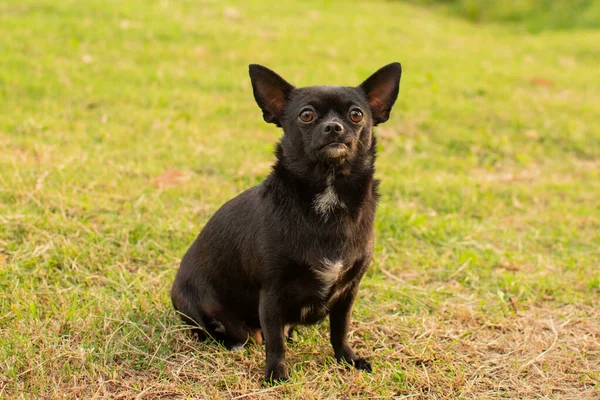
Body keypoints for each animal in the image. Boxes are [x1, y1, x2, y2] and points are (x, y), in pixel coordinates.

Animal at [171, 62, 400, 382]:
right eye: (306, 115)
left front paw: (348, 359)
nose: (333, 127)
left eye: (356, 114)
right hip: (195, 306)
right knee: (231, 332)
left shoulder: (348, 291)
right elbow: (275, 340)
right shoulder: (272, 293)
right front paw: (276, 374)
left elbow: (340, 330)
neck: (327, 195)